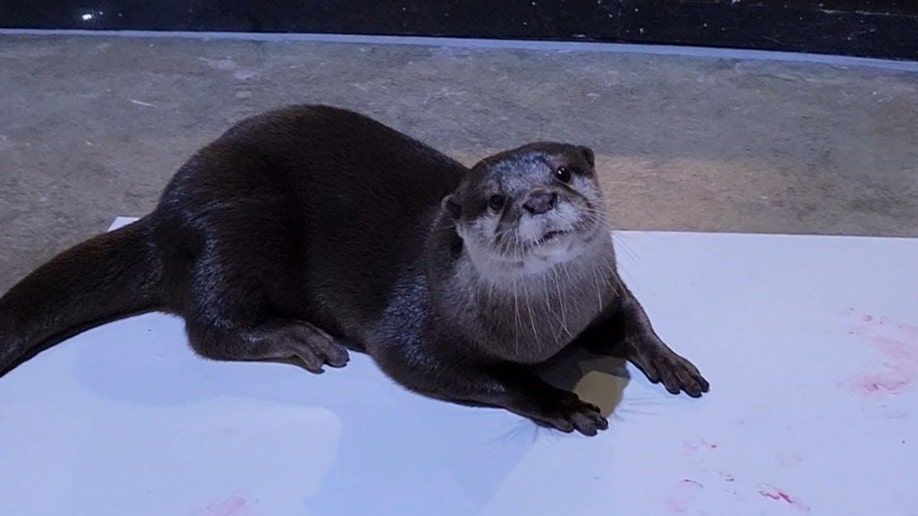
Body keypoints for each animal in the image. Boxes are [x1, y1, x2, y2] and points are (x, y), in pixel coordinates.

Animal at [0, 105, 712, 436]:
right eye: (494, 201)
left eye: (563, 171)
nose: (538, 199)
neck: (545, 329)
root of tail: (163, 213)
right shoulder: (413, 328)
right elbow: (473, 373)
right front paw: (558, 399)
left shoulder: (602, 294)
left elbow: (633, 317)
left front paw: (672, 361)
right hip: (238, 217)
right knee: (209, 324)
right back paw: (298, 337)